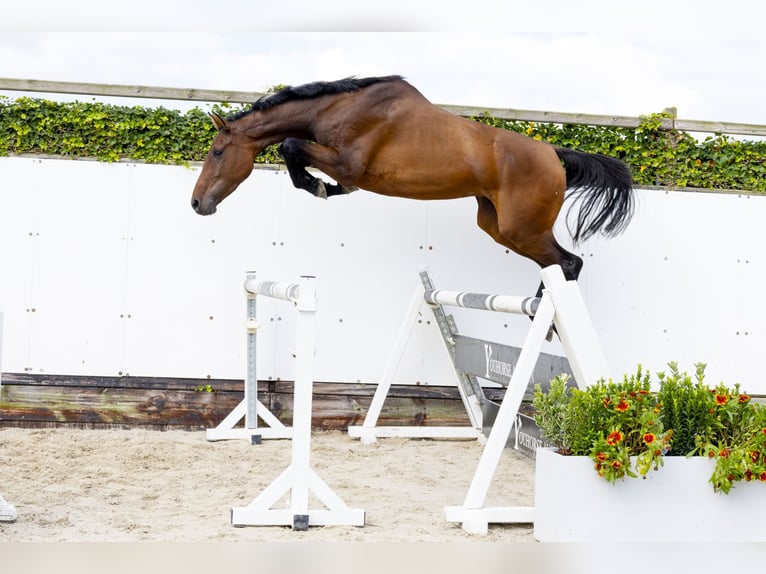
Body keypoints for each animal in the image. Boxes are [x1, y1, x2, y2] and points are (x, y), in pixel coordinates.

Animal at [194, 75, 636, 292]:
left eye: (217, 151)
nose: (197, 204)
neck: (338, 107)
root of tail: (553, 153)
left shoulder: (347, 162)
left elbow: (290, 146)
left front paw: (320, 186)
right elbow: (300, 156)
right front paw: (327, 188)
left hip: (522, 228)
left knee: (569, 263)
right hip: (498, 227)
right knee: (557, 265)